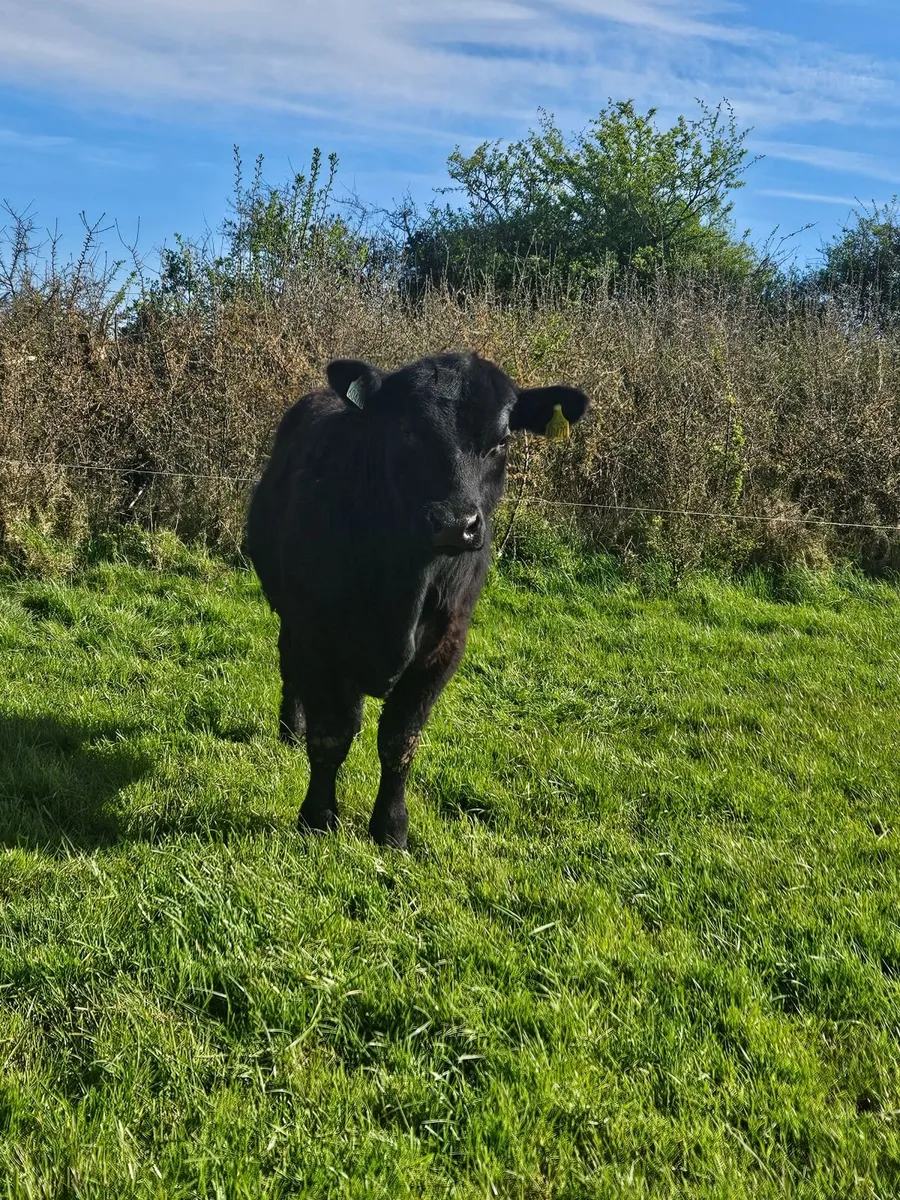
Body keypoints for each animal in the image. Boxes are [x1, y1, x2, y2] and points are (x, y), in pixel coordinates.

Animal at [246, 351, 589, 848]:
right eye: (406, 431)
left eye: (502, 440)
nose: (455, 523)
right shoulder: (318, 635)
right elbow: (331, 736)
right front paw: (318, 816)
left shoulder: (444, 647)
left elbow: (399, 741)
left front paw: (390, 828)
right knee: (290, 668)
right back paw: (292, 727)